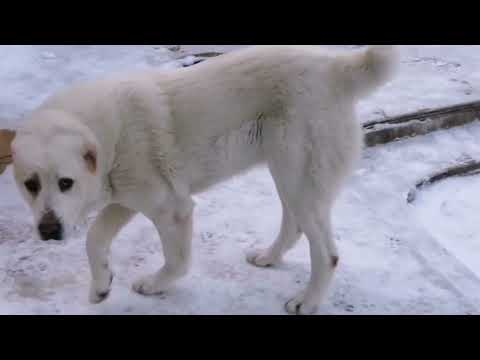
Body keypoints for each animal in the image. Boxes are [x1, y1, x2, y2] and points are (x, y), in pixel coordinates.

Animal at [4, 45, 398, 316]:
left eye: (65, 183)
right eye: (31, 184)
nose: (48, 230)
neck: (107, 135)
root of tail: (336, 68)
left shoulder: (170, 207)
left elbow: (177, 260)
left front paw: (154, 284)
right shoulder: (124, 200)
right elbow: (94, 238)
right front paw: (101, 286)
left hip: (299, 178)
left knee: (327, 254)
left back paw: (307, 301)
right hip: (288, 175)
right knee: (294, 226)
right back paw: (268, 258)